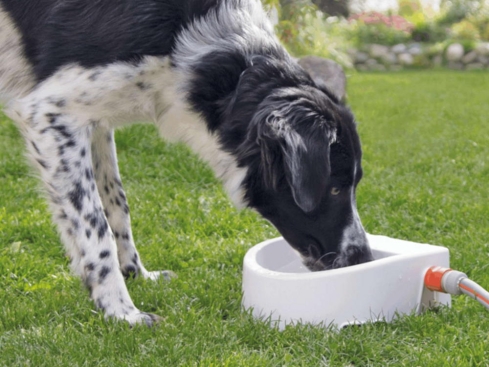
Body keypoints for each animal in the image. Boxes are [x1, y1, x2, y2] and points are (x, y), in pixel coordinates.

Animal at [0, 0, 372, 324]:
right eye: (335, 189)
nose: (363, 258)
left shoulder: (94, 120)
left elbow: (117, 202)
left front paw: (137, 274)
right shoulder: (49, 112)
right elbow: (95, 225)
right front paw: (121, 312)